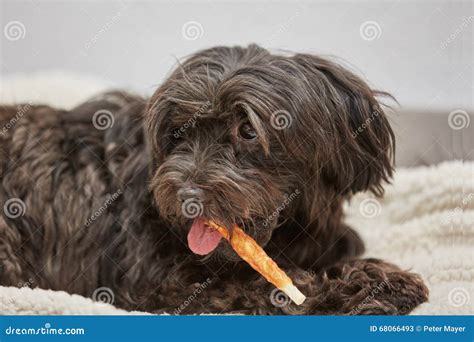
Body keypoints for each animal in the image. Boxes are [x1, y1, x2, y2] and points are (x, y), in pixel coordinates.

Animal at [0, 44, 428, 314]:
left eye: (249, 130)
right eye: (178, 132)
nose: (186, 196)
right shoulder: (162, 284)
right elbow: (275, 286)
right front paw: (370, 282)